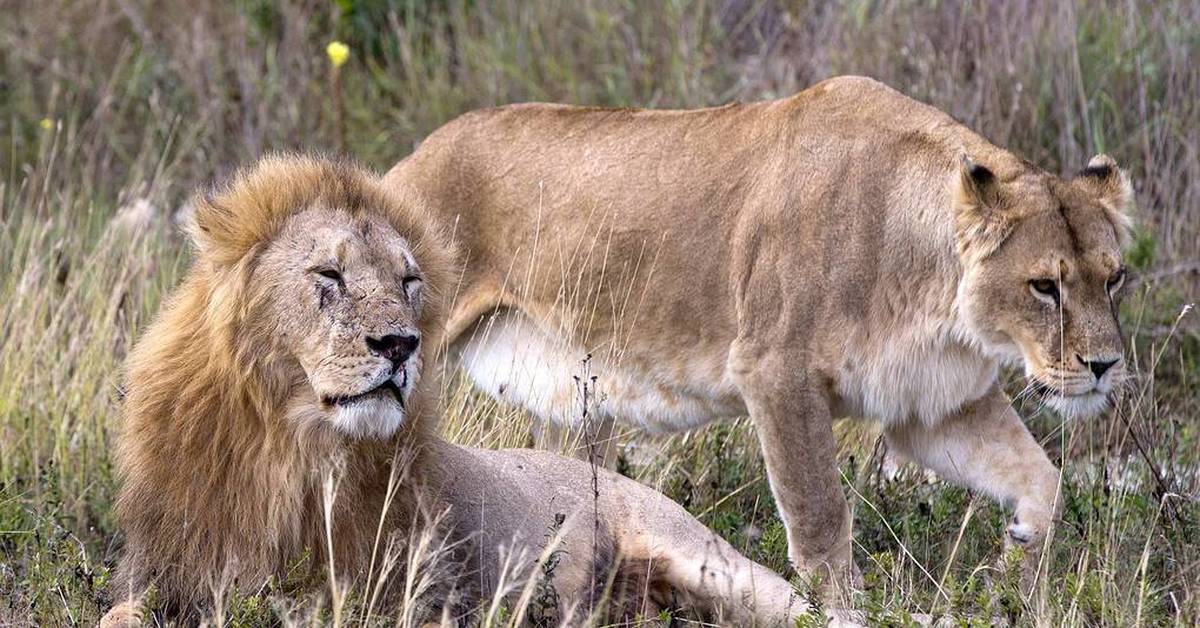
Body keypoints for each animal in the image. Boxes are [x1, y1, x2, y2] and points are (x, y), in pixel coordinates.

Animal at [103, 154, 820, 624]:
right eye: (329, 274)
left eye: (408, 282)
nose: (399, 346)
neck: (288, 448)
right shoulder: (166, 569)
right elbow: (122, 614)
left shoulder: (395, 594)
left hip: (718, 566)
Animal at [386, 76, 1132, 597]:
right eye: (1044, 286)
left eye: (1114, 278)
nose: (1104, 366)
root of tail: (407, 161)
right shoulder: (776, 372)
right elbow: (821, 519)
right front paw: (843, 607)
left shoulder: (933, 405)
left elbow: (1043, 479)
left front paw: (1013, 572)